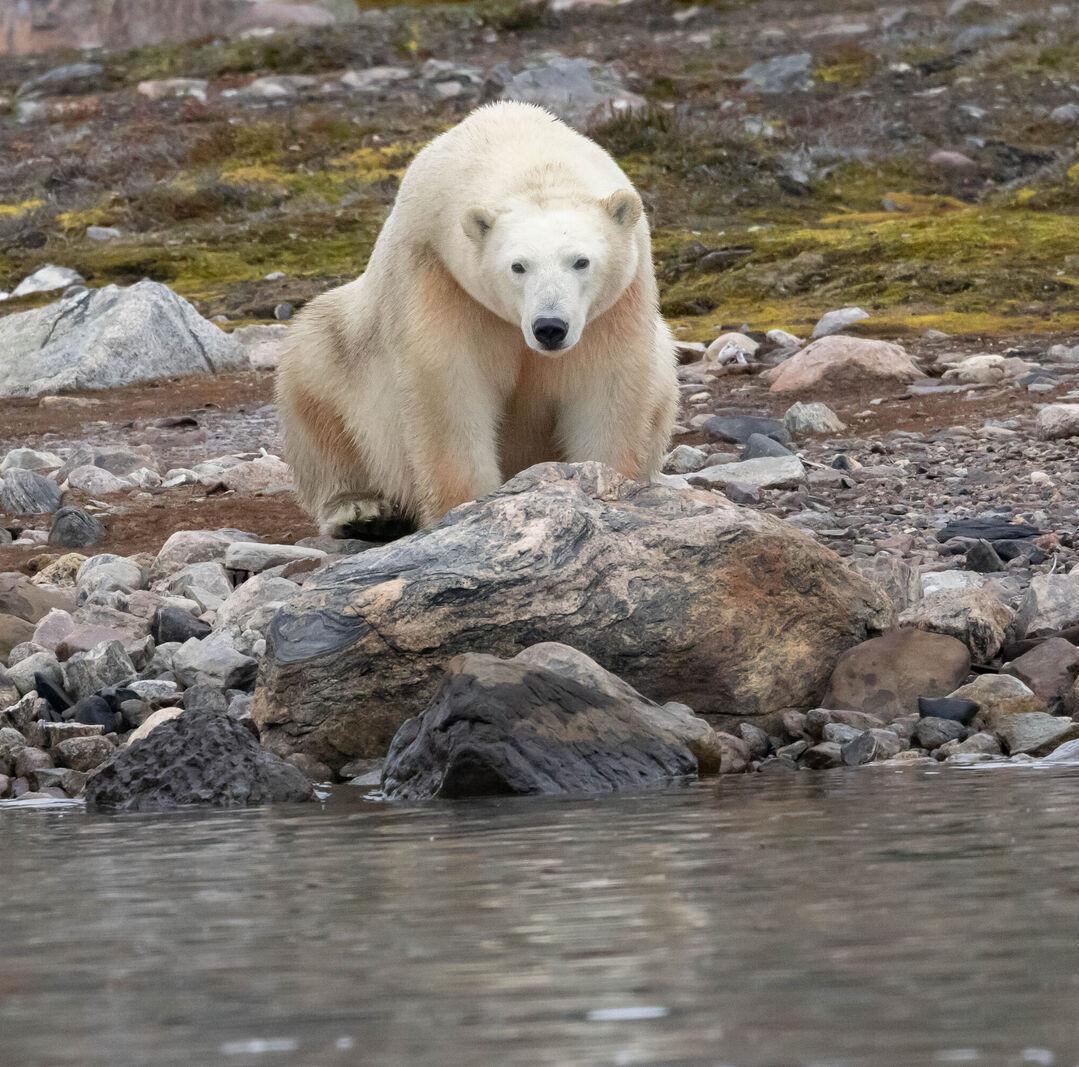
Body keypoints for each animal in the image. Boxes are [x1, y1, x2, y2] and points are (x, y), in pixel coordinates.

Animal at [276, 100, 673, 537]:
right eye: (518, 265)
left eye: (581, 261)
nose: (550, 328)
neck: (523, 149)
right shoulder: (439, 276)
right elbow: (450, 386)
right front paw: (465, 509)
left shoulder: (615, 306)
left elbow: (606, 385)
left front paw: (609, 485)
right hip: (349, 346)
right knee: (316, 381)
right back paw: (360, 511)